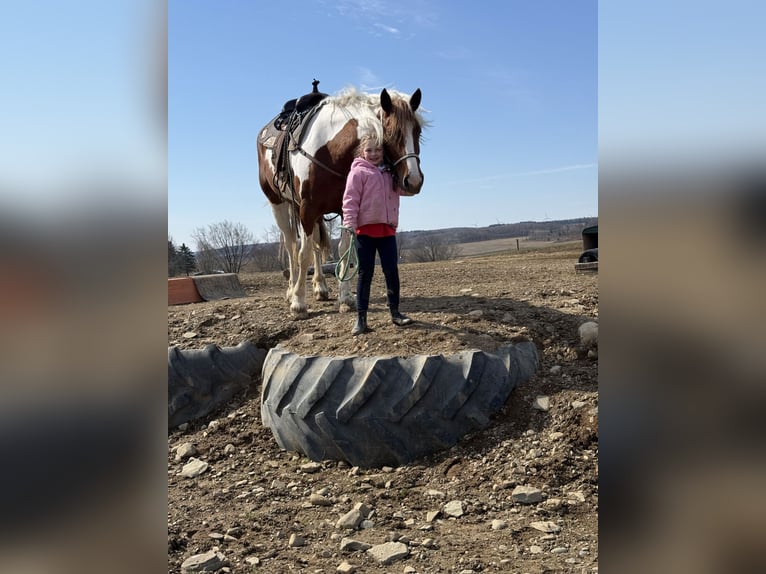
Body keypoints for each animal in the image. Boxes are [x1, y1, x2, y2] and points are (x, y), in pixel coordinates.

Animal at [257, 86, 425, 317]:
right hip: (280, 204)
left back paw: (320, 286)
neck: (331, 152)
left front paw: (345, 298)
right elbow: (303, 254)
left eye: (418, 131)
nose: (414, 181)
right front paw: (299, 303)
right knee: (292, 245)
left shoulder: (344, 209)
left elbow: (343, 251)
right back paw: (291, 291)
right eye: (391, 133)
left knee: (315, 245)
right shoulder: (308, 209)